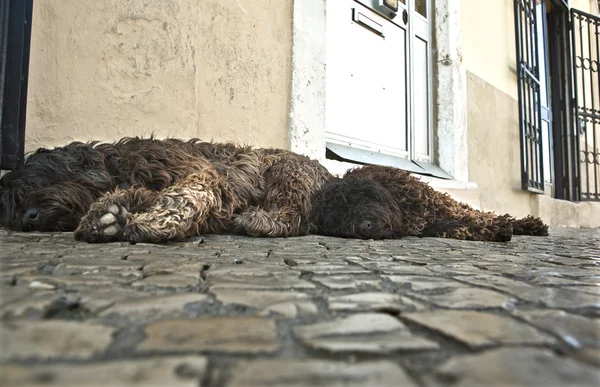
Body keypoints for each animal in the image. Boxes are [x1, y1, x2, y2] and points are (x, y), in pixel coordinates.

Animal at [0, 138, 330, 244]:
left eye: (34, 185)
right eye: (12, 208)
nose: (29, 218)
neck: (118, 167)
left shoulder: (209, 175)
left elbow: (187, 194)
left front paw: (151, 222)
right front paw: (107, 215)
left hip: (287, 172)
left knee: (294, 215)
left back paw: (257, 219)